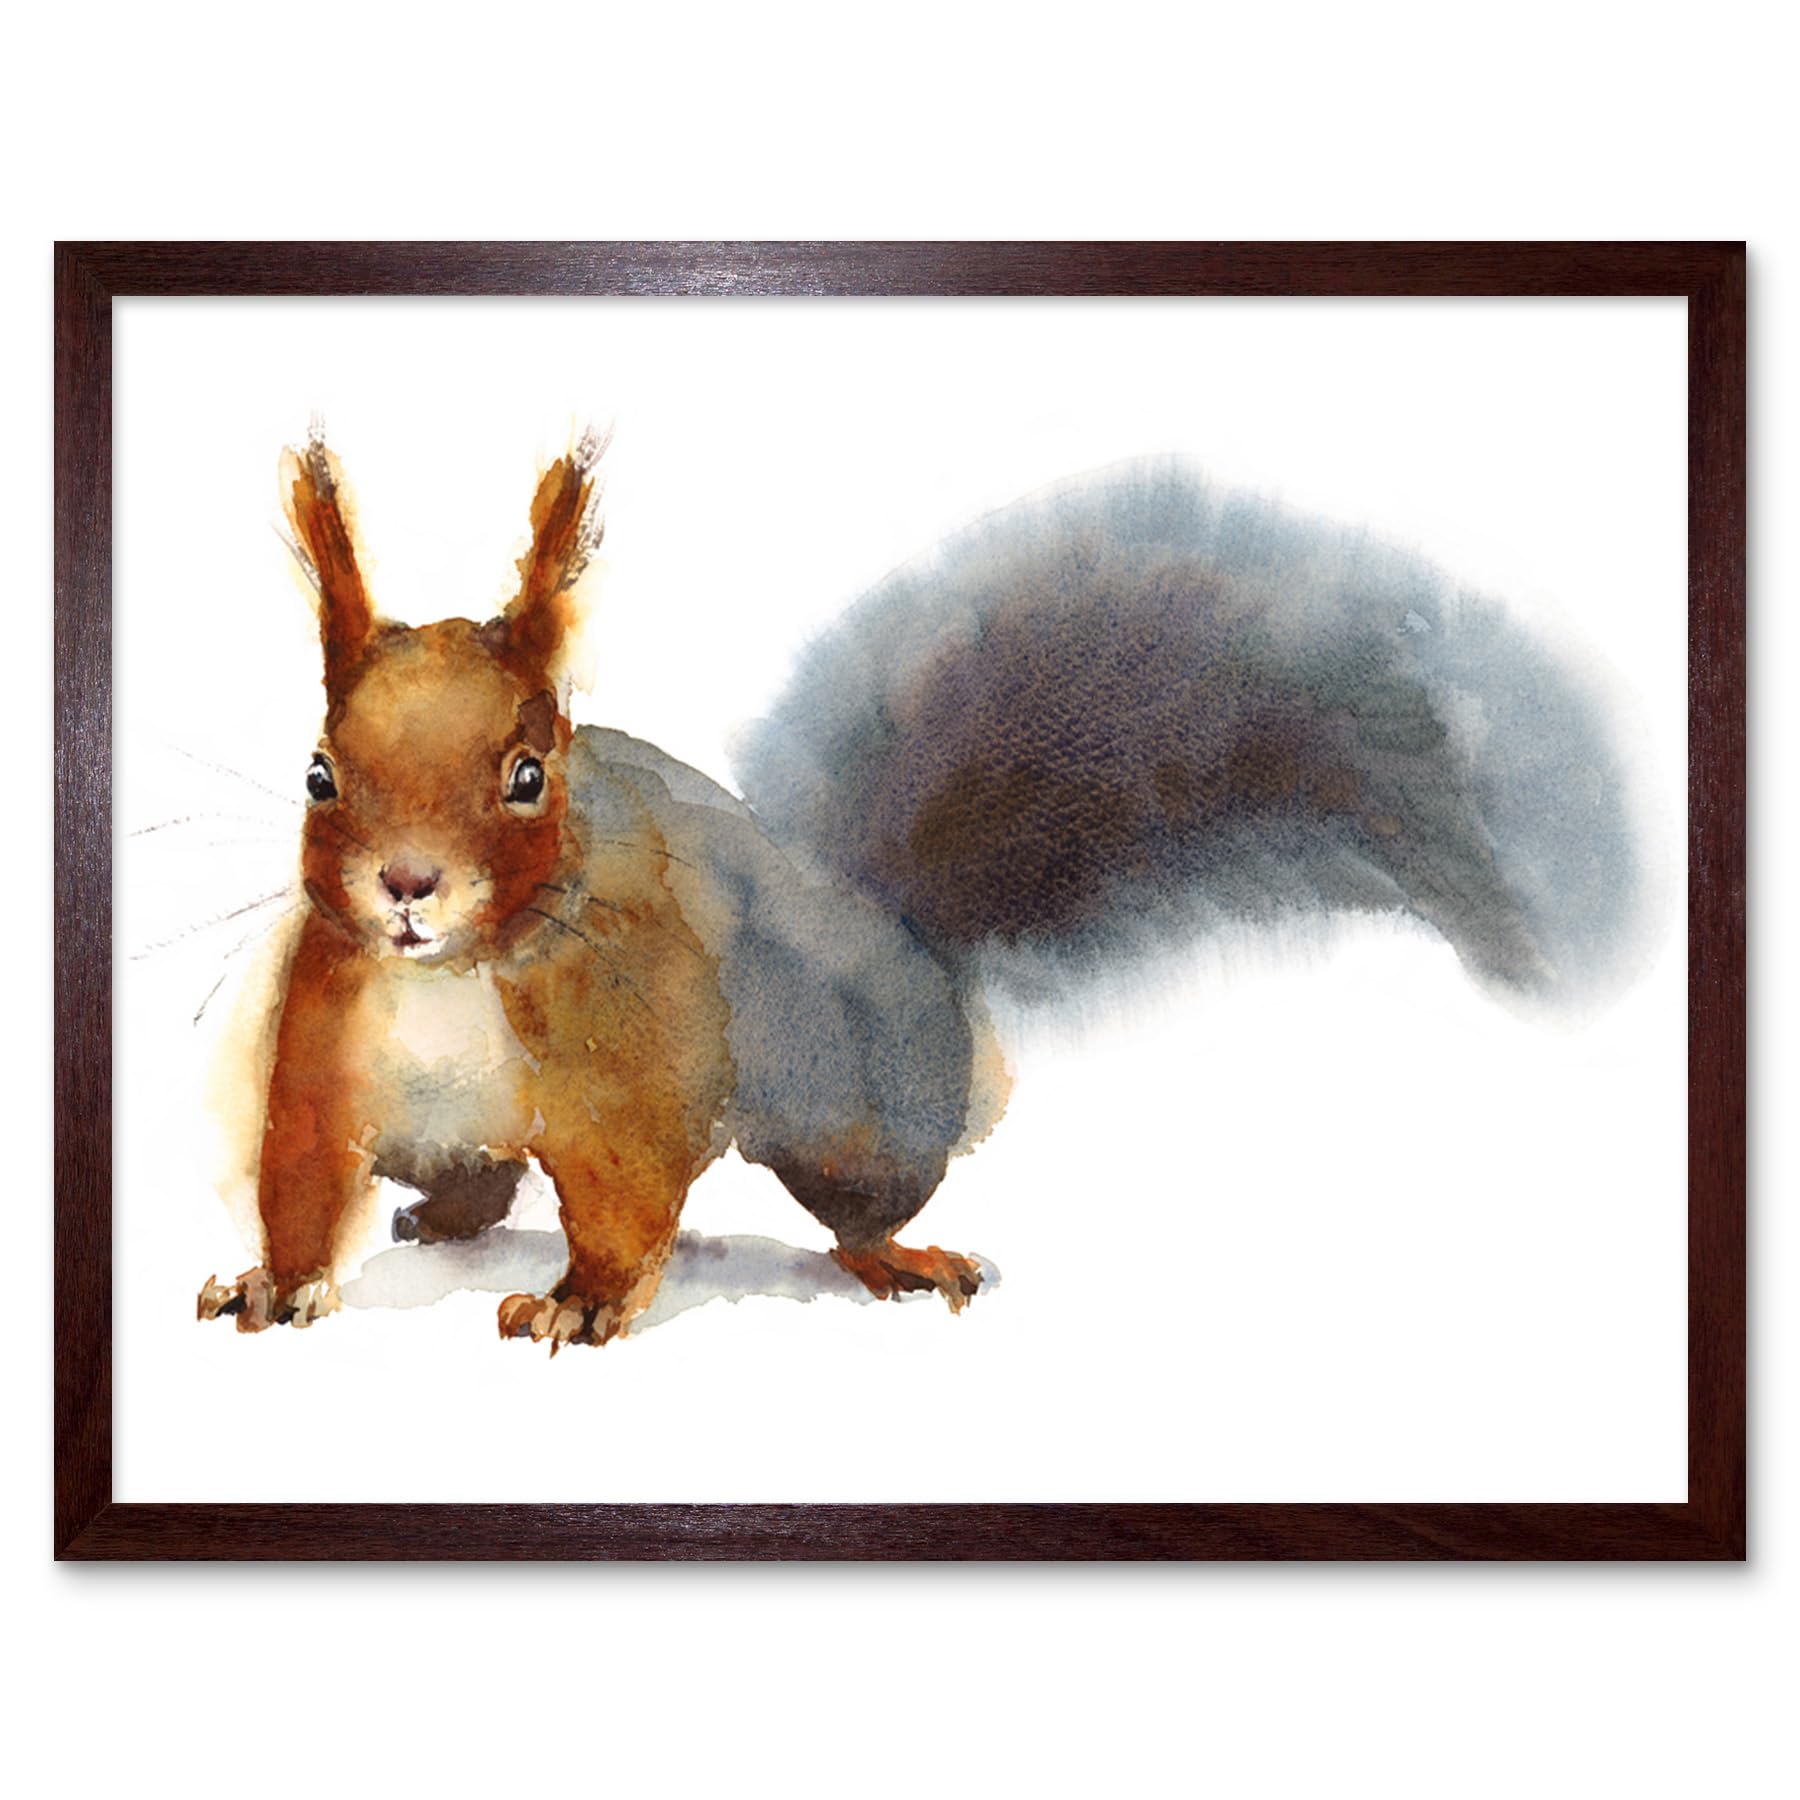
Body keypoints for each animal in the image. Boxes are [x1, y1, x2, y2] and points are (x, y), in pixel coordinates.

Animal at [197, 425, 1643, 1349]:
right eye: (320, 772)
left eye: (525, 774)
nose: (407, 887)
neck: (456, 974)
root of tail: (892, 933)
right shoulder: (330, 1037)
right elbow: (300, 1170)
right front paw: (273, 1284)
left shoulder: (631, 1059)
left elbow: (625, 1193)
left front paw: (582, 1302)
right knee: (478, 1179)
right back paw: (446, 1213)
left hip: (860, 1115)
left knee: (859, 1207)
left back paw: (898, 1257)